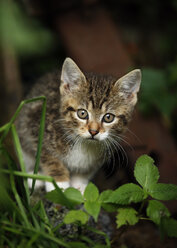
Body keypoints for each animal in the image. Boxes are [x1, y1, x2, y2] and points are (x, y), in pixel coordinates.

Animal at [16, 58, 141, 194]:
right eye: (82, 113)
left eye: (108, 117)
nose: (93, 131)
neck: (83, 143)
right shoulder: (35, 122)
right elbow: (48, 157)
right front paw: (59, 183)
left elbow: (87, 170)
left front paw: (79, 183)